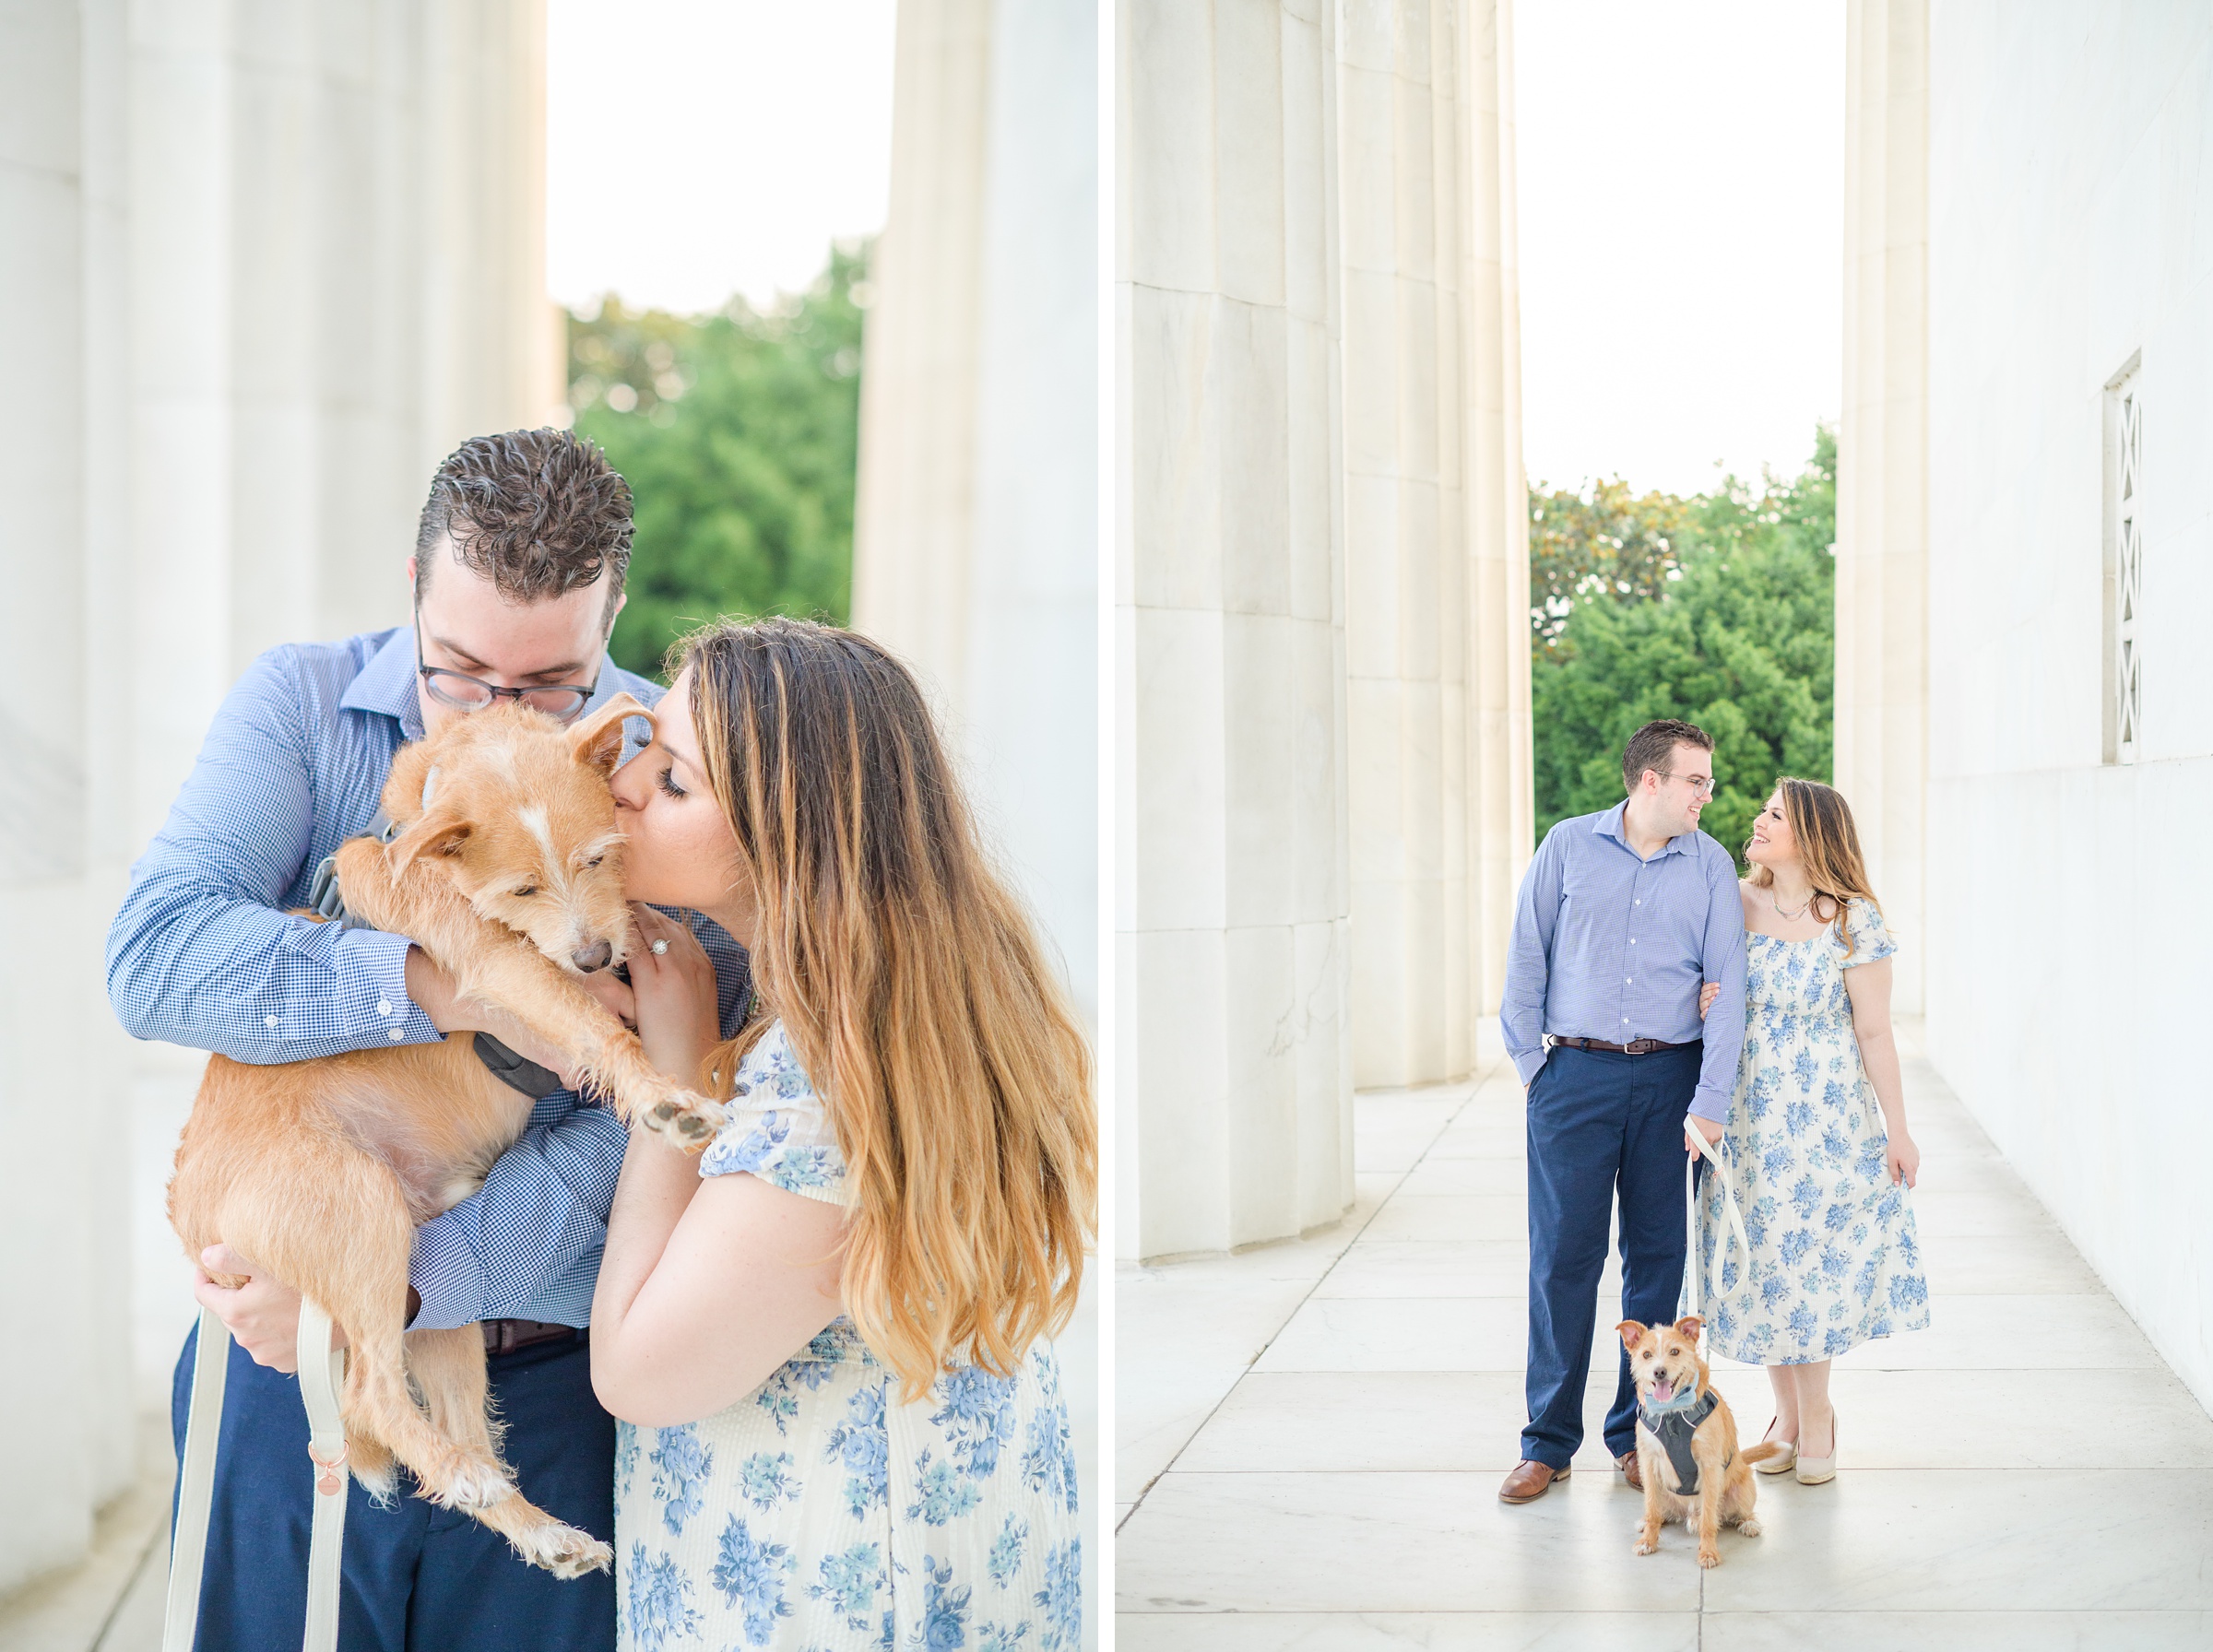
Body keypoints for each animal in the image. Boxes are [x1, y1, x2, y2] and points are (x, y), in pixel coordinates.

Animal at [174, 694, 726, 1575]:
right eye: (523, 887)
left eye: (601, 857)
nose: (595, 953)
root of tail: (187, 1214)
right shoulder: (504, 967)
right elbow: (594, 1025)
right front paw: (660, 1098)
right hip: (358, 1209)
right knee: (369, 1391)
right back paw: (468, 1478)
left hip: (432, 1298)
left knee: (457, 1429)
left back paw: (538, 1529)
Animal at [1619, 1317, 1788, 1565]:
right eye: (1646, 1354)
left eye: (1675, 1351)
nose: (1659, 1372)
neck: (1672, 1413)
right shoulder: (1648, 1464)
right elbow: (1652, 1510)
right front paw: (1648, 1541)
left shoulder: (1709, 1466)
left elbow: (1709, 1518)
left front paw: (1708, 1552)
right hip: (1663, 1491)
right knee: (1659, 1511)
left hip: (1743, 1489)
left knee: (1735, 1513)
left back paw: (1749, 1523)